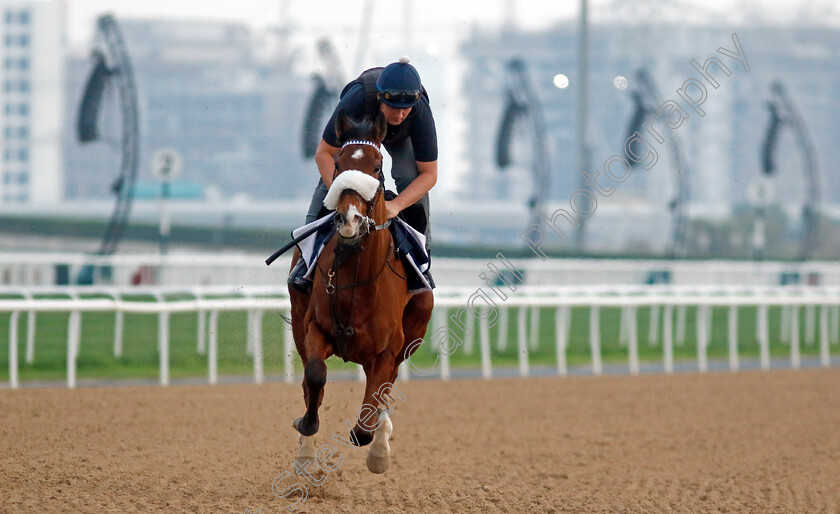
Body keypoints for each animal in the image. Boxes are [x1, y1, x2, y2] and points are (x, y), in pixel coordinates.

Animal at [288, 109, 434, 472]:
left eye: (378, 167)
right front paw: (306, 434)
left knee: (384, 390)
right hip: (297, 319)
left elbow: (370, 414)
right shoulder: (315, 327)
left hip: (413, 334)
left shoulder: (389, 349)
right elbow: (315, 376)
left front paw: (376, 447)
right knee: (310, 382)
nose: (350, 219)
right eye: (338, 164)